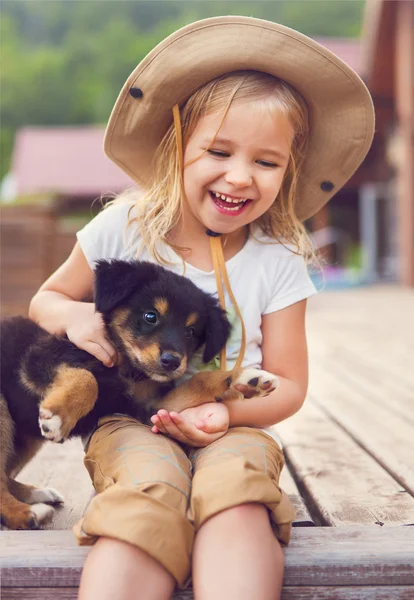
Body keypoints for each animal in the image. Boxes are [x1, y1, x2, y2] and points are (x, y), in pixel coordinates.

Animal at [0, 260, 278, 528]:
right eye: (150, 316)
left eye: (190, 331)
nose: (172, 362)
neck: (130, 369)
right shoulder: (40, 358)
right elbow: (88, 379)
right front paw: (60, 417)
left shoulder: (149, 408)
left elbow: (198, 382)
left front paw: (245, 379)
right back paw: (30, 513)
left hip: (24, 440)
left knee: (5, 475)